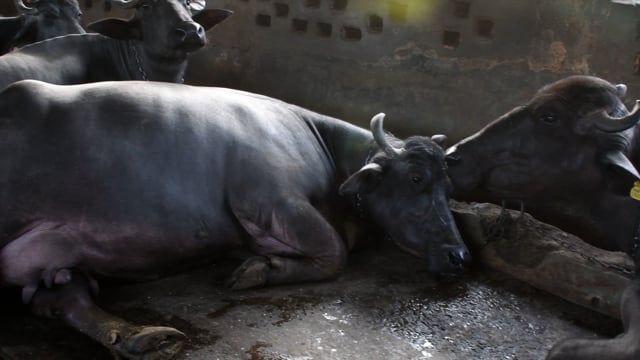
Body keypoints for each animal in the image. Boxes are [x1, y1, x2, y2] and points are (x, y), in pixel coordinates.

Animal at [0, 79, 470, 360]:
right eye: (415, 178)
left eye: (449, 186)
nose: (460, 256)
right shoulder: (271, 198)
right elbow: (334, 253)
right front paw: (258, 270)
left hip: (55, 250)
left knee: (64, 299)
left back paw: (142, 338)